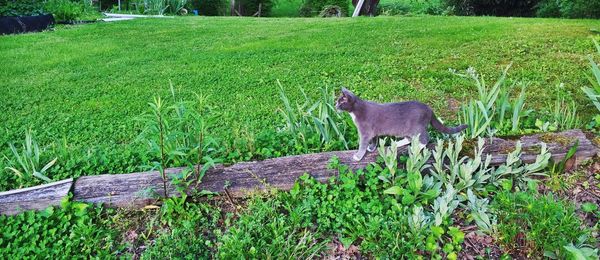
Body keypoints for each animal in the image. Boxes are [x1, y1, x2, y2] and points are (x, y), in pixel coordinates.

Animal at [332, 87, 468, 160]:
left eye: (340, 102)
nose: (335, 106)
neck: (356, 111)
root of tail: (429, 109)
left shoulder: (365, 132)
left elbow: (362, 144)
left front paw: (358, 155)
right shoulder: (373, 131)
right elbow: (374, 139)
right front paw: (372, 147)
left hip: (417, 128)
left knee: (425, 138)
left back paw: (416, 147)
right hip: (407, 130)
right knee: (409, 138)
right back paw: (397, 144)